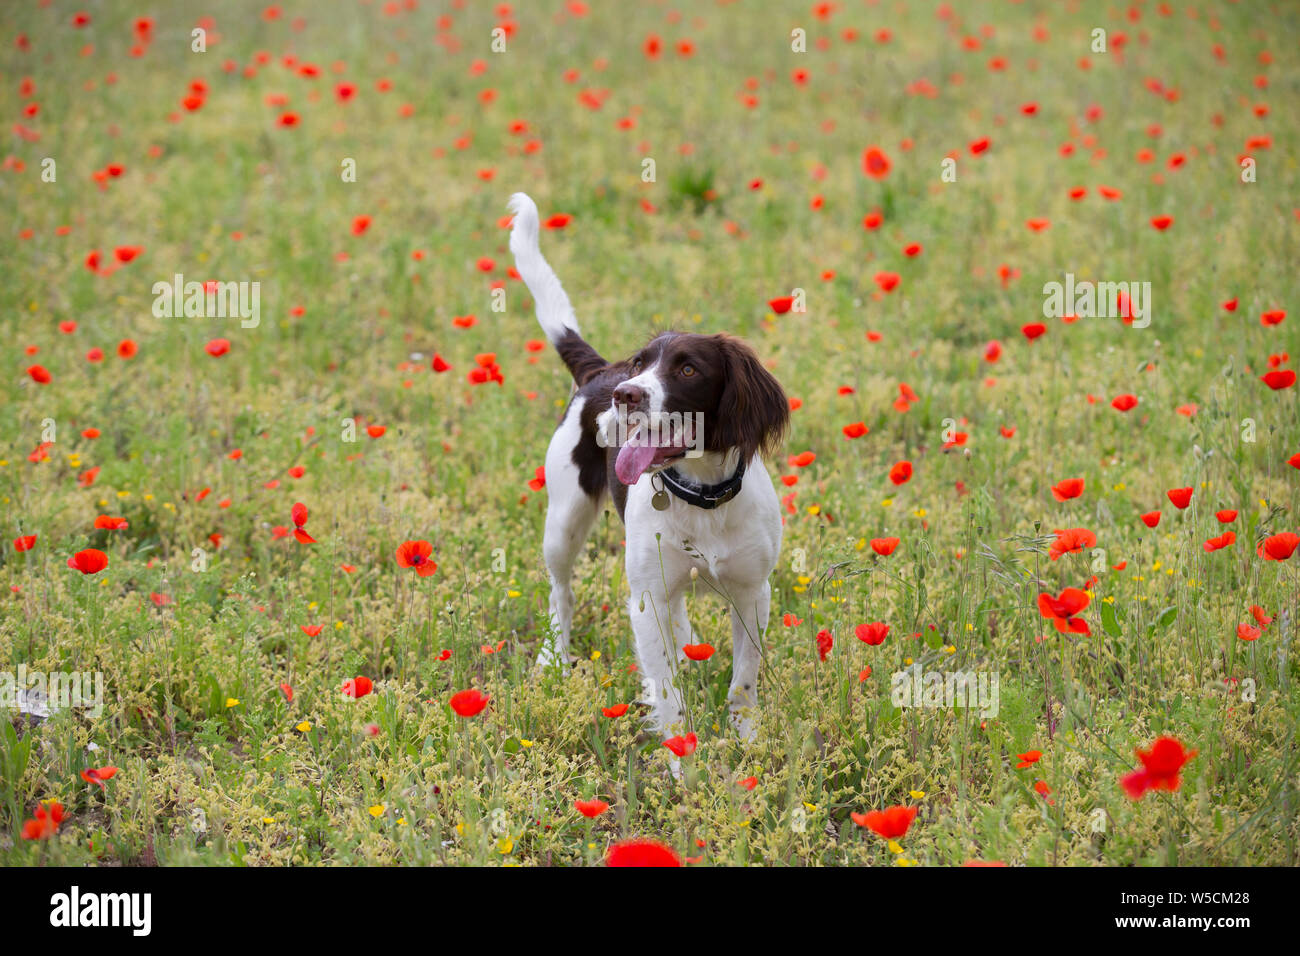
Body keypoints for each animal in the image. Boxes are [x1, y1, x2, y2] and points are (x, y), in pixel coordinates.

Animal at [509, 191, 790, 743]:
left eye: (688, 369)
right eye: (642, 363)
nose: (626, 393)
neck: (702, 494)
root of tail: (599, 371)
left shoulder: (753, 592)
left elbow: (743, 681)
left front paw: (746, 739)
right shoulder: (645, 599)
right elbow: (668, 691)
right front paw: (683, 753)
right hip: (564, 521)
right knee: (561, 593)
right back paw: (554, 657)